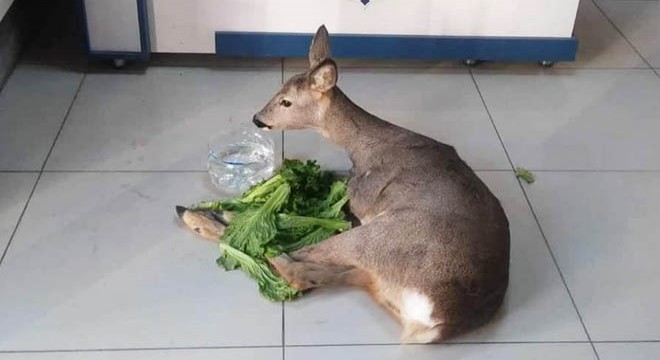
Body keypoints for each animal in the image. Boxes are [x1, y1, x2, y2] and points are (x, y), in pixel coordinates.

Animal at [178, 26, 512, 344]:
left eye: (286, 101)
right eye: (278, 91)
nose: (258, 119)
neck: (365, 148)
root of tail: (441, 321)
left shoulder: (363, 194)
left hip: (383, 237)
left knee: (286, 255)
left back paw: (206, 218)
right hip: (373, 276)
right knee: (305, 272)